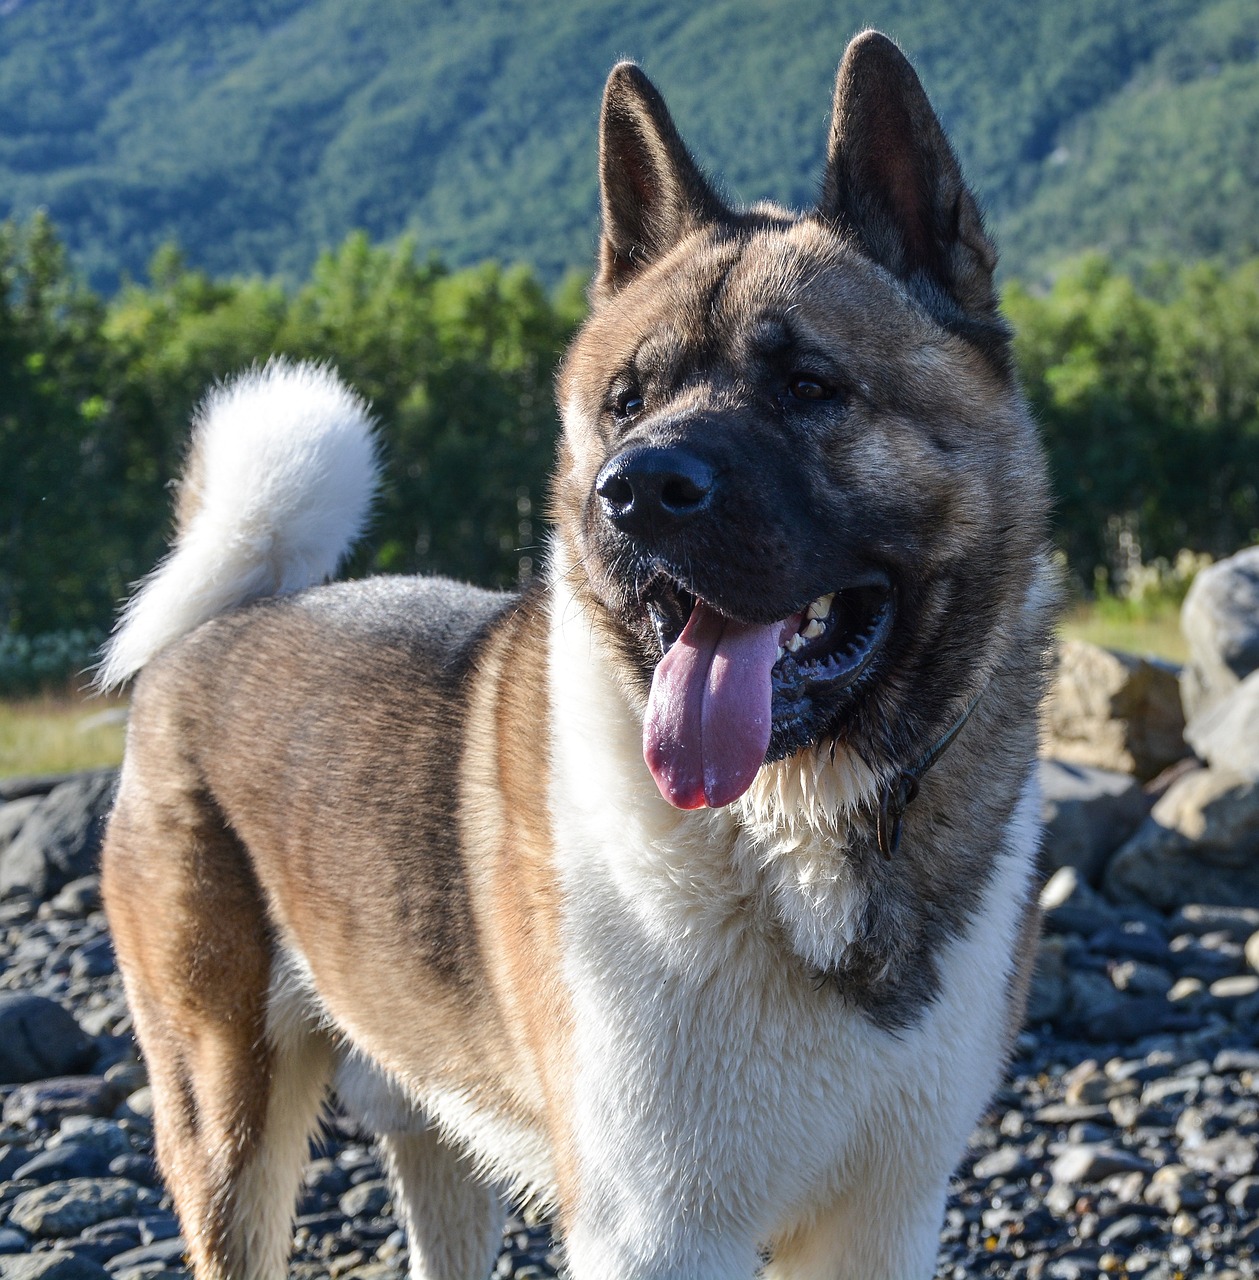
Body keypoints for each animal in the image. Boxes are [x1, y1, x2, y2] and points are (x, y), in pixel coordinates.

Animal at [98, 32, 1054, 1280]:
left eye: (808, 386)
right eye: (625, 401)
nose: (633, 490)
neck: (795, 827)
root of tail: (228, 621)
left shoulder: (881, 1220)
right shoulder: (657, 1230)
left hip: (427, 1114)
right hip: (228, 1121)